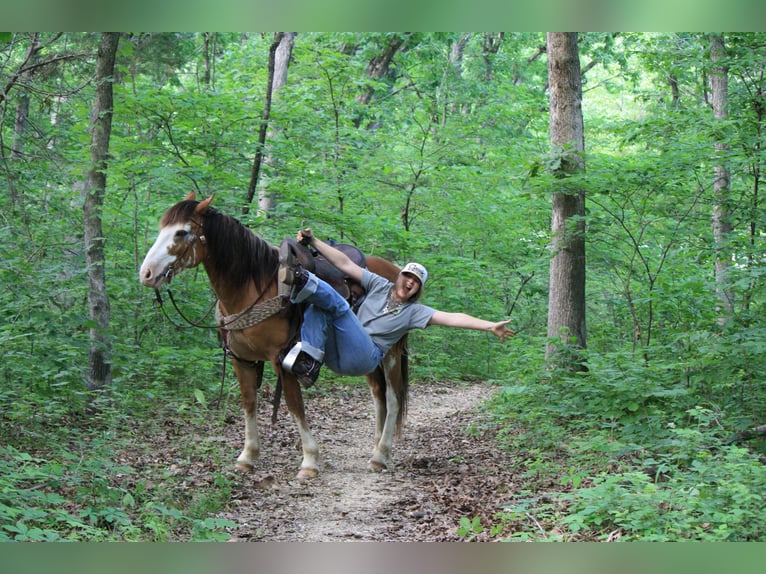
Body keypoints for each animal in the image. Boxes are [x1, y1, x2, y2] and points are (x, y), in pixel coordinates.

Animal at [139, 192, 408, 479]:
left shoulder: (283, 359)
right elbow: (249, 402)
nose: (146, 274)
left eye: (181, 232)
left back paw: (381, 454)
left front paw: (310, 460)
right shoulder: (241, 359)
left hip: (391, 353)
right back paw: (377, 448)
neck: (252, 288)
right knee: (378, 395)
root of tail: (394, 271)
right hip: (369, 356)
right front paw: (248, 456)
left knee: (393, 397)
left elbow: (294, 405)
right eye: (162, 229)